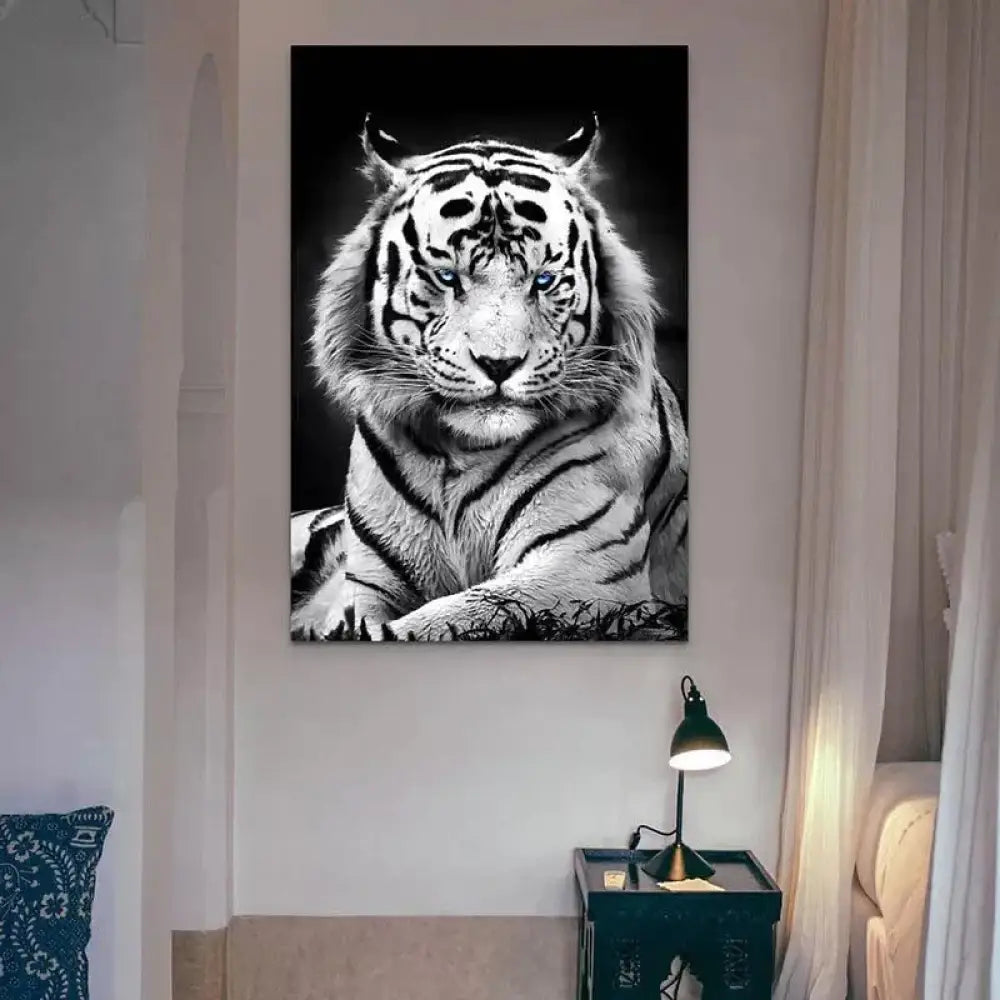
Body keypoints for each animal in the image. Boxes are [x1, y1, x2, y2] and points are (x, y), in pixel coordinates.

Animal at [290, 112, 688, 641]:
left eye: (543, 280)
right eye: (446, 277)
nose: (500, 364)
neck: (459, 455)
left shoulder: (586, 568)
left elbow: (461, 613)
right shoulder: (368, 581)